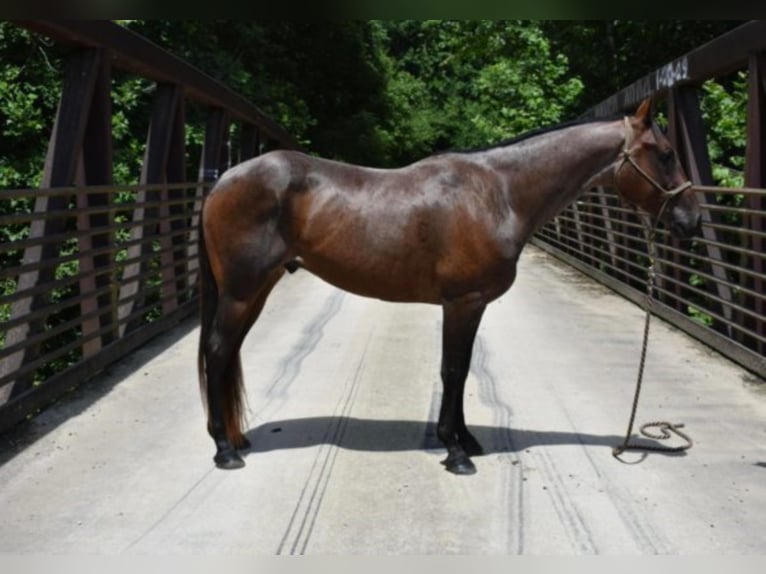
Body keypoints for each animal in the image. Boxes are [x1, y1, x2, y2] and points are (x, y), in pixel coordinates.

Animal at [196, 98, 704, 476]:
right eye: (665, 154)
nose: (692, 220)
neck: (500, 192)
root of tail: (223, 181)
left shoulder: (471, 306)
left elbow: (461, 370)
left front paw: (466, 440)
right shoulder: (462, 302)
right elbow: (453, 371)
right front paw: (456, 453)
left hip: (255, 291)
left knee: (228, 353)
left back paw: (236, 438)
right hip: (241, 292)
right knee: (218, 352)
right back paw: (224, 450)